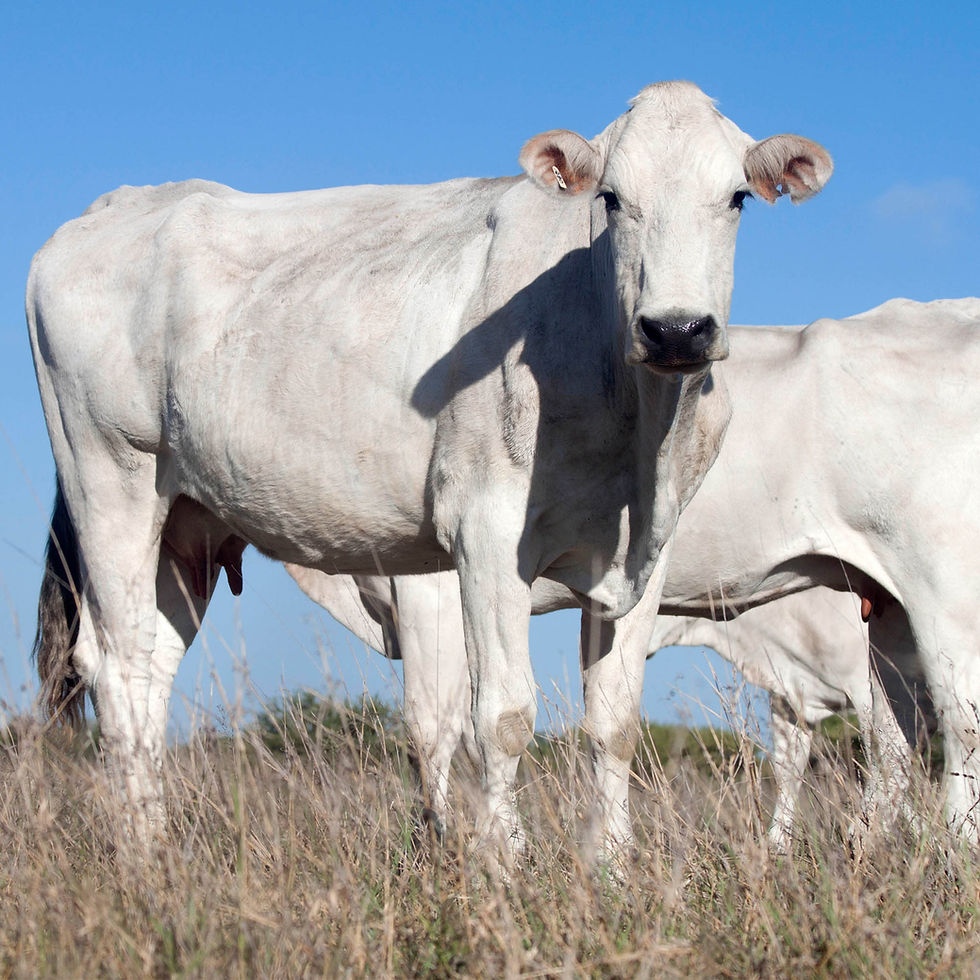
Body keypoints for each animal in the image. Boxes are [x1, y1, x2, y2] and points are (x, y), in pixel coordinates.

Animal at [29, 81, 831, 856]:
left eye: (737, 197)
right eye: (609, 198)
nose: (676, 329)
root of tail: (124, 201)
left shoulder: (646, 552)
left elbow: (614, 722)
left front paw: (610, 867)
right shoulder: (486, 531)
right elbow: (500, 716)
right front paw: (505, 863)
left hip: (186, 523)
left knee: (151, 666)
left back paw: (157, 840)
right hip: (111, 479)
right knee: (116, 666)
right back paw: (140, 859)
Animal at [288, 298, 980, 858]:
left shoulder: (426, 587)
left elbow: (430, 729)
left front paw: (444, 852)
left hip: (944, 593)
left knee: (952, 727)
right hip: (889, 609)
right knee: (897, 736)